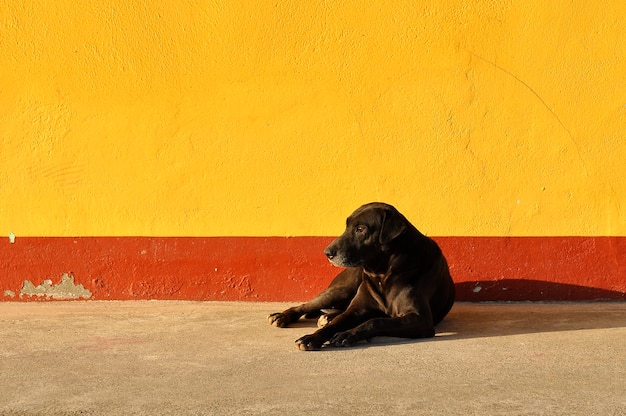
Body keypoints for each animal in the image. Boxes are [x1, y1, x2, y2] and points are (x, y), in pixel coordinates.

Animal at [266, 203, 454, 350]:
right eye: (347, 226)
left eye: (360, 229)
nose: (327, 253)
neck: (383, 274)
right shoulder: (356, 310)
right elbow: (337, 323)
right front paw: (312, 337)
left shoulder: (421, 320)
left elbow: (376, 321)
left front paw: (346, 334)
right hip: (340, 290)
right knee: (306, 306)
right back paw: (282, 316)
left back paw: (326, 317)